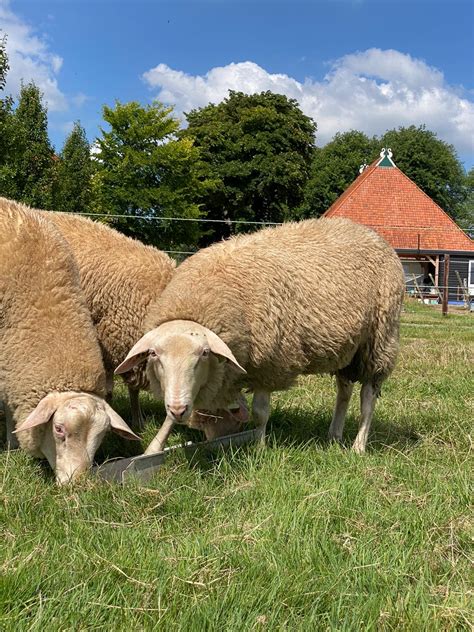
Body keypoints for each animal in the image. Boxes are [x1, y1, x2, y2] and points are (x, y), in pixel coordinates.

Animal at [116, 217, 406, 454]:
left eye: (204, 353)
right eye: (154, 354)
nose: (178, 407)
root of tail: (370, 232)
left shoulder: (270, 364)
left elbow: (260, 413)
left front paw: (259, 446)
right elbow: (170, 417)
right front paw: (153, 448)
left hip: (378, 341)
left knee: (367, 398)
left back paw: (358, 446)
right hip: (348, 348)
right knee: (344, 390)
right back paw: (334, 435)